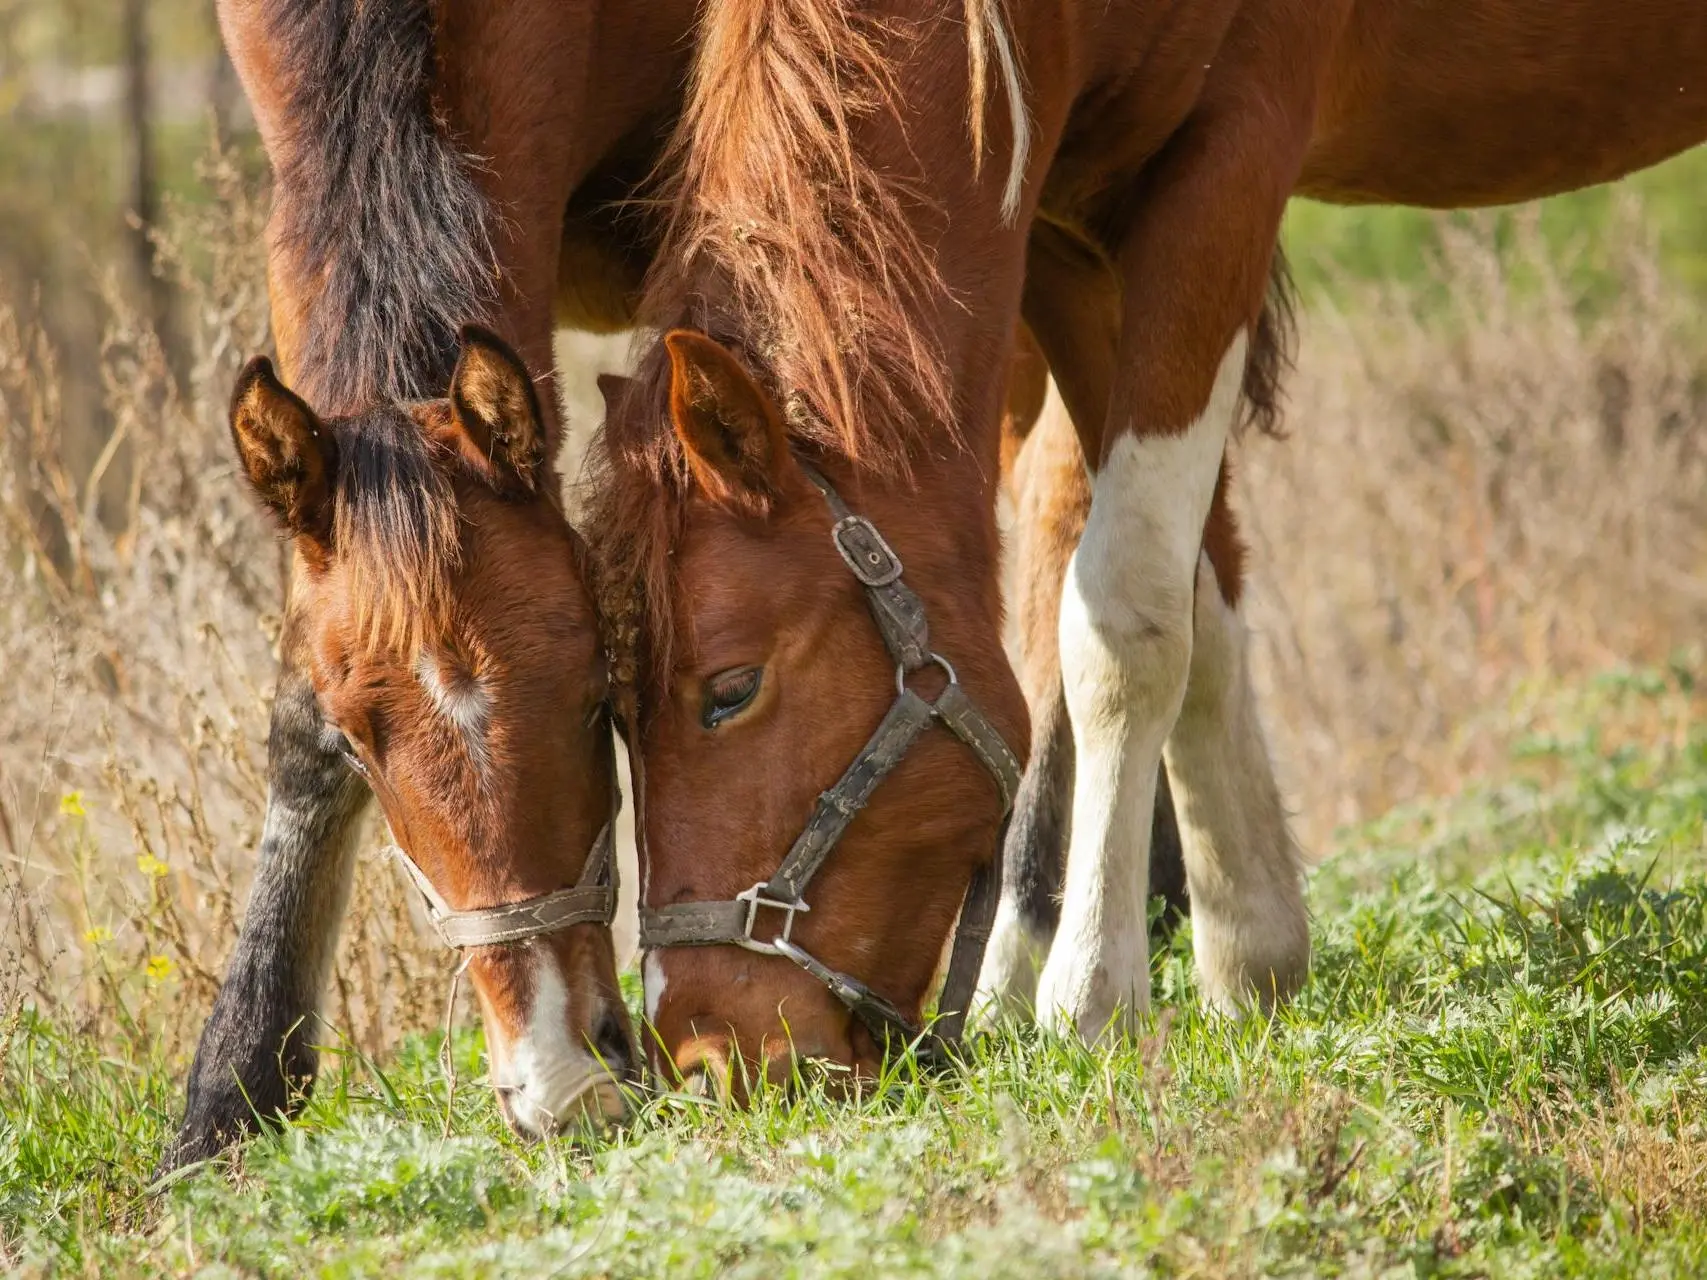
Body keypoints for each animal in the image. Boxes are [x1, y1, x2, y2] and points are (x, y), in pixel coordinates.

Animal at [590, 0, 1707, 1092]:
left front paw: (1092, 988)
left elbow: (1121, 616)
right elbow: (1197, 597)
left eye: (730, 690)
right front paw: (1250, 944)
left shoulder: (1227, 169)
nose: (704, 1056)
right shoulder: (1067, 236)